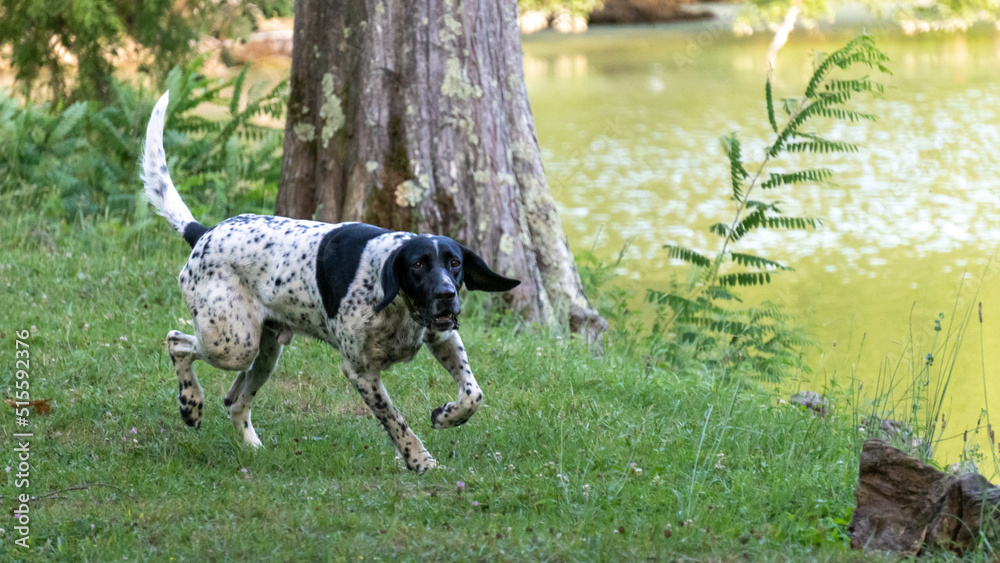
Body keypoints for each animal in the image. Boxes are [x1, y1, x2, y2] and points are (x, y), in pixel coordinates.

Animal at [145, 94, 520, 474]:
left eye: (455, 263)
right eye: (417, 265)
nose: (446, 295)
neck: (396, 303)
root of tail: (204, 232)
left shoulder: (444, 339)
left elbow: (473, 394)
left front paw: (447, 416)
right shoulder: (361, 373)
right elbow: (397, 422)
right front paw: (418, 460)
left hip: (265, 350)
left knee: (236, 400)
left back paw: (251, 445)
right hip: (232, 344)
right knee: (177, 343)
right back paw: (190, 404)